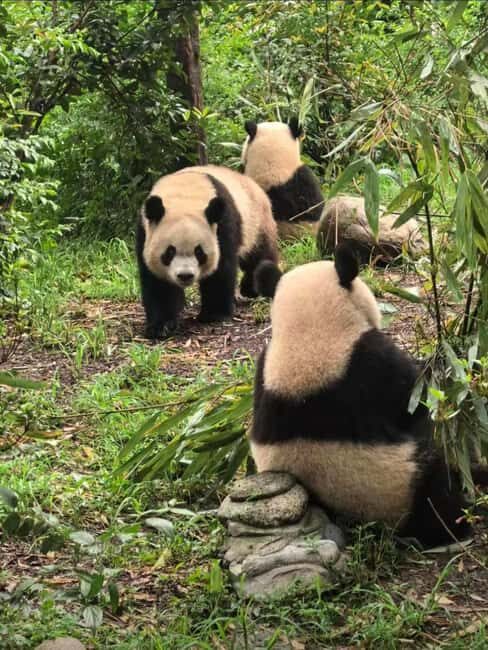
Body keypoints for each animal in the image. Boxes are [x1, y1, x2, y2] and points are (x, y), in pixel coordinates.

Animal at [136, 165, 278, 339]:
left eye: (199, 252)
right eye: (169, 252)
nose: (185, 275)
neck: (184, 198)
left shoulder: (222, 224)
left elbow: (220, 270)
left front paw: (214, 315)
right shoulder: (145, 232)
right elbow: (158, 283)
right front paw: (160, 326)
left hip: (257, 221)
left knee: (259, 257)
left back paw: (251, 289)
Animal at [250, 244, 472, 549]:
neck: (307, 334)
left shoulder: (263, 372)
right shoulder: (373, 362)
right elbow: (414, 401)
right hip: (401, 485)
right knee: (436, 489)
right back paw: (455, 526)